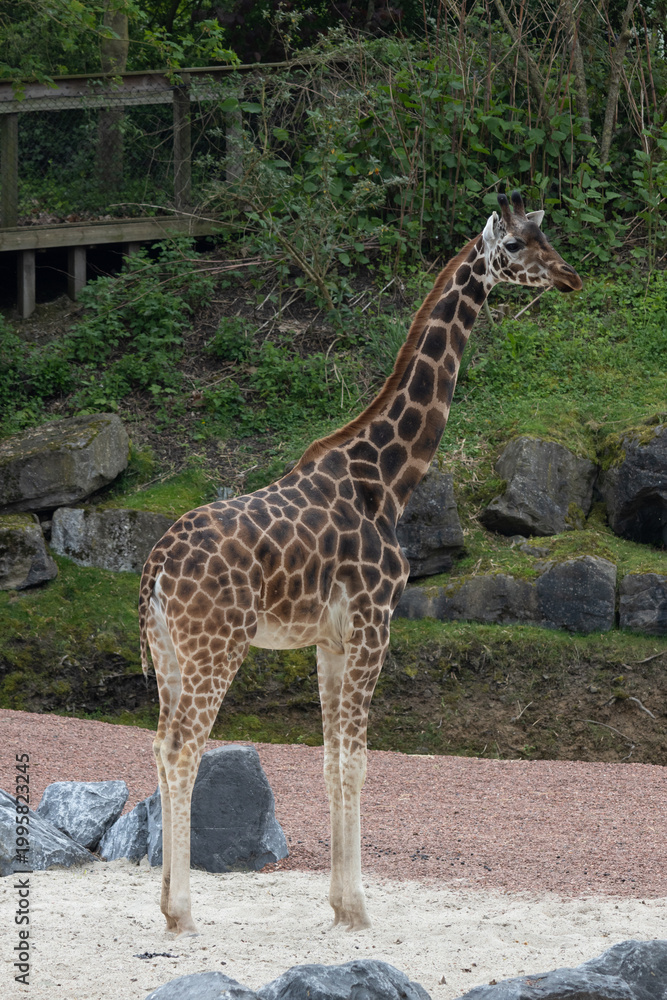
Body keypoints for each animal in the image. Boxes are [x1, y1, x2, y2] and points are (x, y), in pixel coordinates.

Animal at [139, 191, 582, 937]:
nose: (569, 277)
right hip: (216, 646)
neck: (389, 479)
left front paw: (339, 903)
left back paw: (169, 908)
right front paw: (357, 908)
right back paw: (181, 912)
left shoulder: (330, 637)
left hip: (171, 654)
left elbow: (328, 761)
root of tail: (154, 571)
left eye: (545, 237)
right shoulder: (375, 620)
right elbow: (358, 761)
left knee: (159, 744)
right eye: (516, 247)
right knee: (182, 749)